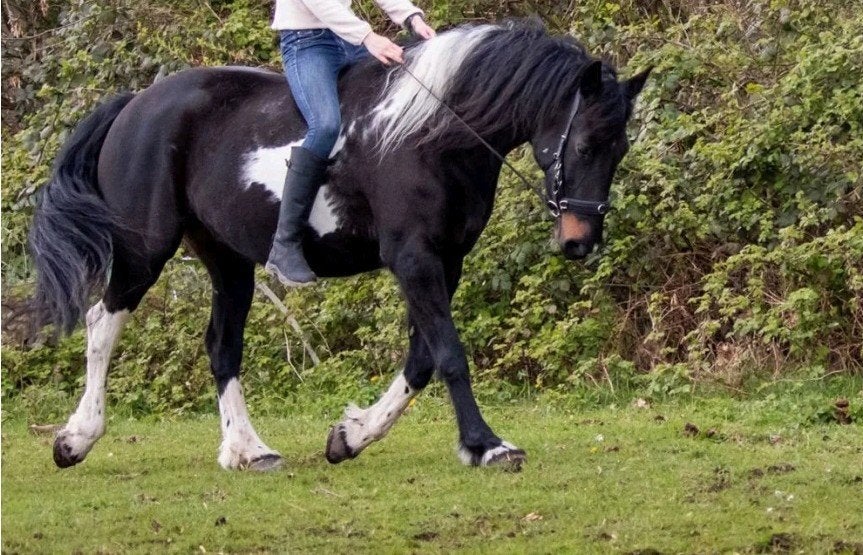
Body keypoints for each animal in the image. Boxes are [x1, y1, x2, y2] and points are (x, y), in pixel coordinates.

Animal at [30, 20, 650, 471]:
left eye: (619, 149)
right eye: (586, 143)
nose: (580, 242)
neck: (435, 135)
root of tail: (135, 105)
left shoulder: (446, 261)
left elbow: (422, 358)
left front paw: (350, 437)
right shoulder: (413, 258)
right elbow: (449, 354)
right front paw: (486, 445)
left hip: (228, 260)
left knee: (222, 347)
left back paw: (248, 451)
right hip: (146, 249)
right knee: (101, 323)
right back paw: (76, 440)